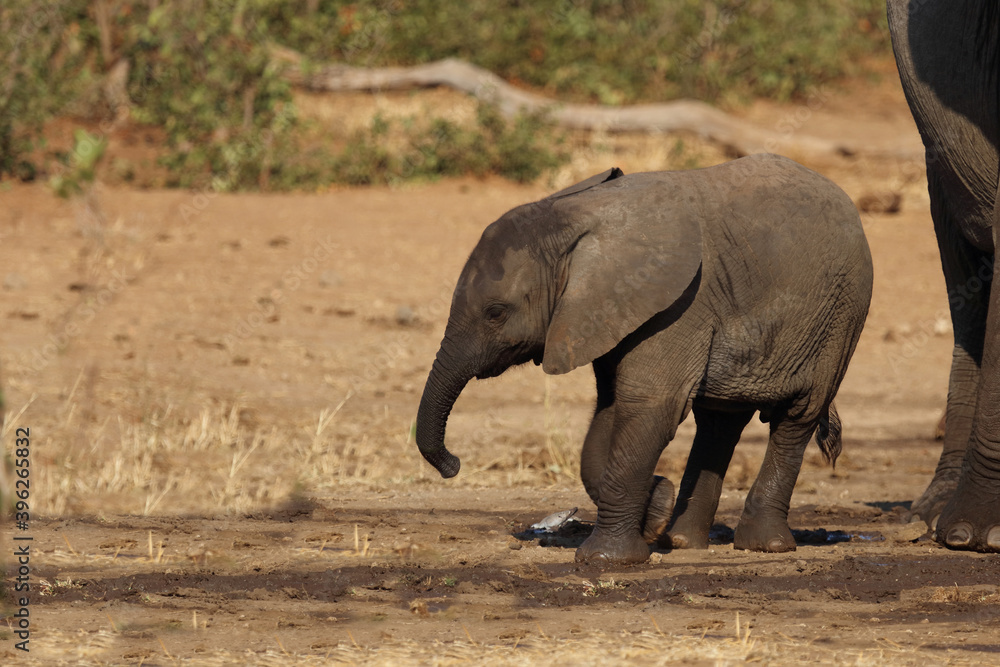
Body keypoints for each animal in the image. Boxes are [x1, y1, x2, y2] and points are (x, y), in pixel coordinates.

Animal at [415, 153, 873, 564]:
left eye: (496, 313)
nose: (454, 464)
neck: (576, 218)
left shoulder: (681, 303)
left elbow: (648, 406)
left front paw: (606, 559)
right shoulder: (606, 312)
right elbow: (610, 411)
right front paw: (657, 507)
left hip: (839, 319)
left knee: (796, 418)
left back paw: (763, 546)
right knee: (720, 422)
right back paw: (681, 541)